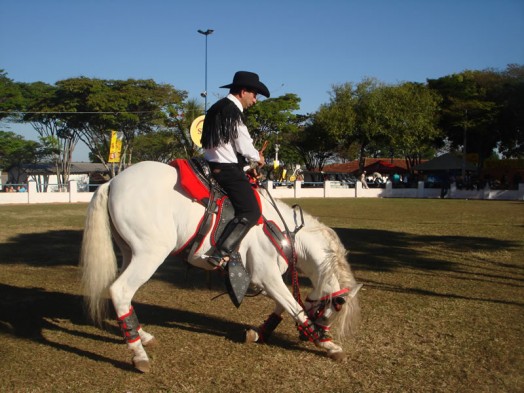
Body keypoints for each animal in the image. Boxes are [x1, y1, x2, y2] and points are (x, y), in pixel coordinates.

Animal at [80, 159, 362, 370]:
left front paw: (259, 333)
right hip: (150, 253)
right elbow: (295, 307)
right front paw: (329, 346)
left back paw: (143, 336)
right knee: (120, 290)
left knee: (123, 293)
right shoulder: (267, 276)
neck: (286, 233)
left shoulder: (266, 280)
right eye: (334, 307)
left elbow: (284, 306)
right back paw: (138, 354)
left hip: (130, 251)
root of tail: (112, 182)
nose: (312, 334)